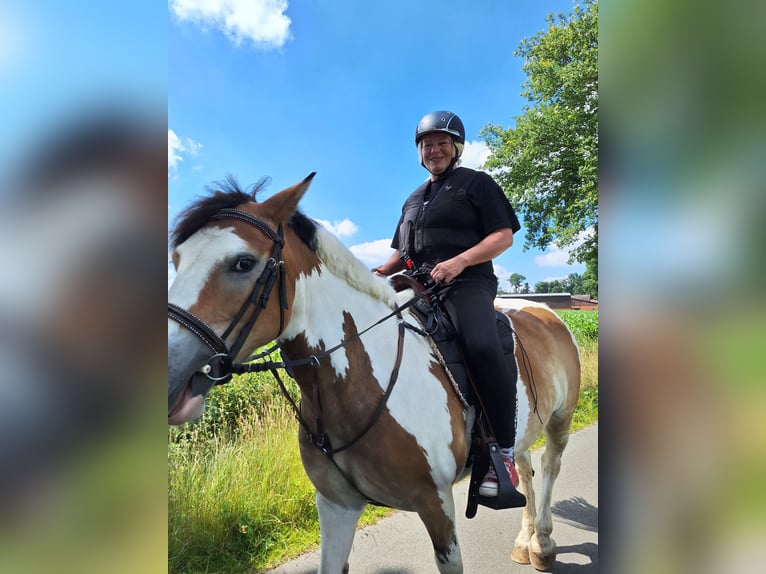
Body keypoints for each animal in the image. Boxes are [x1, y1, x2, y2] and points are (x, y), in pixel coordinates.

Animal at [168, 173, 584, 572]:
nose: (171, 373)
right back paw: (524, 541)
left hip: (559, 422)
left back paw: (542, 545)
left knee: (549, 466)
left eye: (242, 262)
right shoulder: (336, 505)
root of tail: (546, 312)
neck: (362, 384)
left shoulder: (437, 504)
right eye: (177, 260)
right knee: (525, 468)